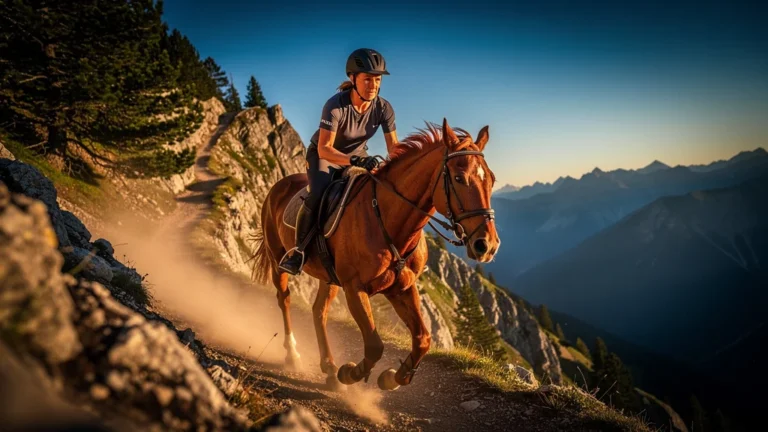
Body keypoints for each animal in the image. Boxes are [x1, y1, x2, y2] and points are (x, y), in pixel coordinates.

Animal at [250, 118, 500, 391]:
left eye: (492, 180)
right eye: (458, 177)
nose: (487, 245)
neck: (388, 220)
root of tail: (279, 185)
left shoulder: (403, 288)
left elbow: (423, 339)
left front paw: (392, 378)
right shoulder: (354, 289)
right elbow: (374, 346)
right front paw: (351, 373)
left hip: (329, 278)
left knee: (319, 311)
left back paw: (329, 367)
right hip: (278, 260)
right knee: (284, 299)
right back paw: (294, 354)